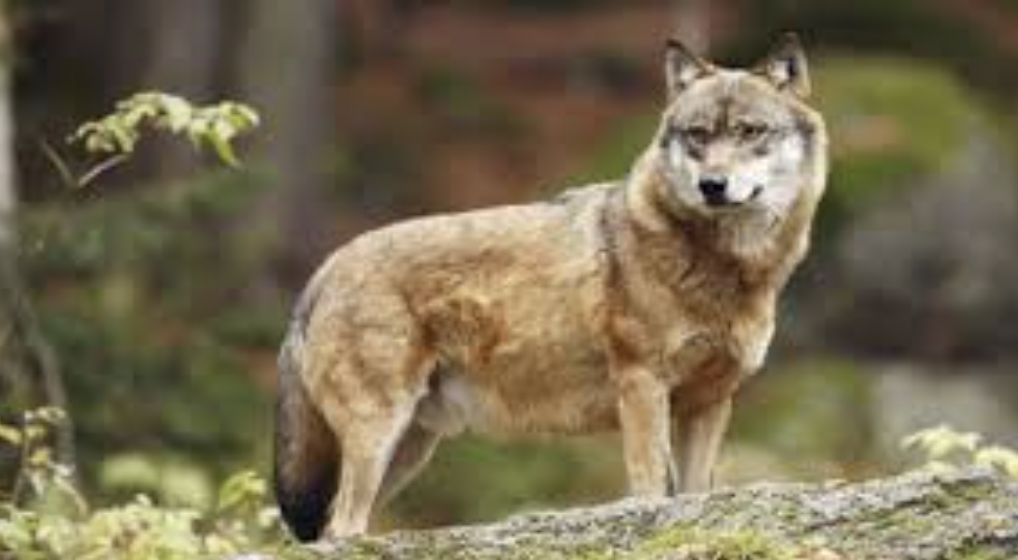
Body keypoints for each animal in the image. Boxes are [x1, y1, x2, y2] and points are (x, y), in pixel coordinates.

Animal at [274, 34, 829, 541]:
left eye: (750, 131)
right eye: (697, 135)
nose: (712, 185)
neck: (723, 265)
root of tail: (325, 268)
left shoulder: (709, 403)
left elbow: (694, 497)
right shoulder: (641, 384)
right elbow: (650, 489)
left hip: (408, 450)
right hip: (380, 435)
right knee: (341, 527)